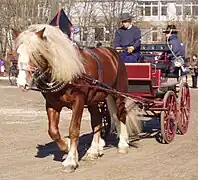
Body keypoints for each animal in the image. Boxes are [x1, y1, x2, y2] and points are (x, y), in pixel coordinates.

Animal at [12, 24, 142, 172]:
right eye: (18, 52)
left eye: (37, 53)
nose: (21, 83)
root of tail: (112, 53)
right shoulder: (52, 104)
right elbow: (53, 131)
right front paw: (67, 146)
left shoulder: (78, 102)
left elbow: (73, 130)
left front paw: (70, 161)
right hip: (94, 100)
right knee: (97, 121)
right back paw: (93, 151)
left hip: (118, 93)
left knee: (121, 115)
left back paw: (123, 144)